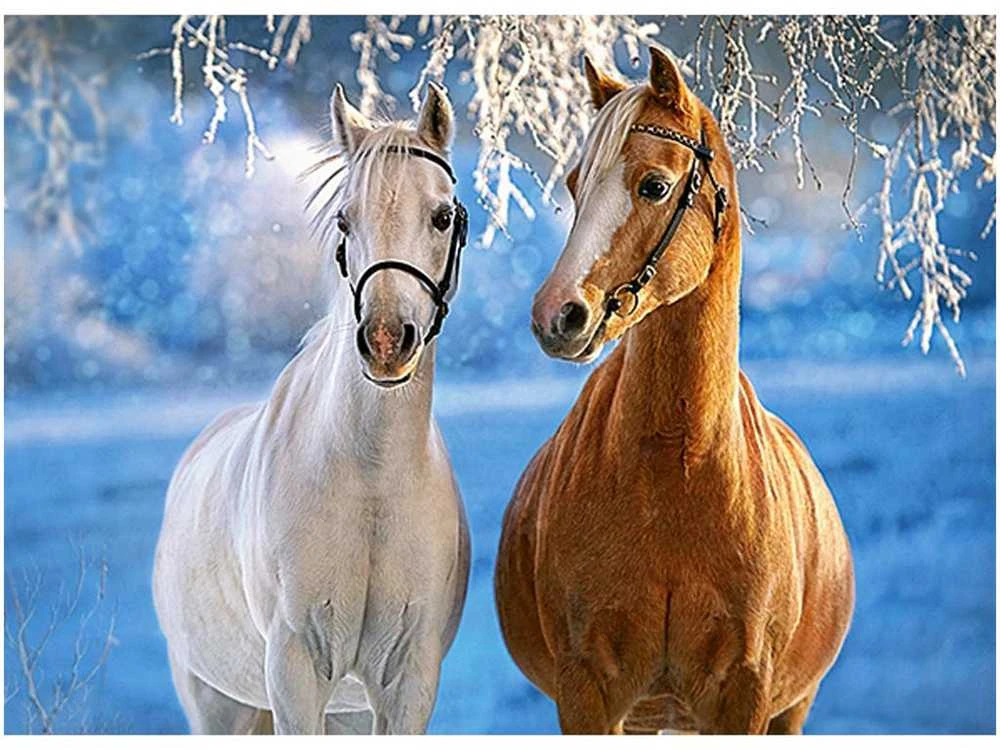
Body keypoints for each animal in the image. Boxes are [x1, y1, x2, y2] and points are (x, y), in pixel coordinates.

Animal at [153, 81, 470, 735]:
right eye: (346, 219)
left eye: (442, 215)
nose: (385, 340)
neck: (371, 481)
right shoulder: (295, 673)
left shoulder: (407, 681)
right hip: (217, 703)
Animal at [494, 46, 855, 734]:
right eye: (575, 185)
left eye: (654, 186)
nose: (557, 316)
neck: (675, 470)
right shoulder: (586, 693)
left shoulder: (744, 696)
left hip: (792, 709)